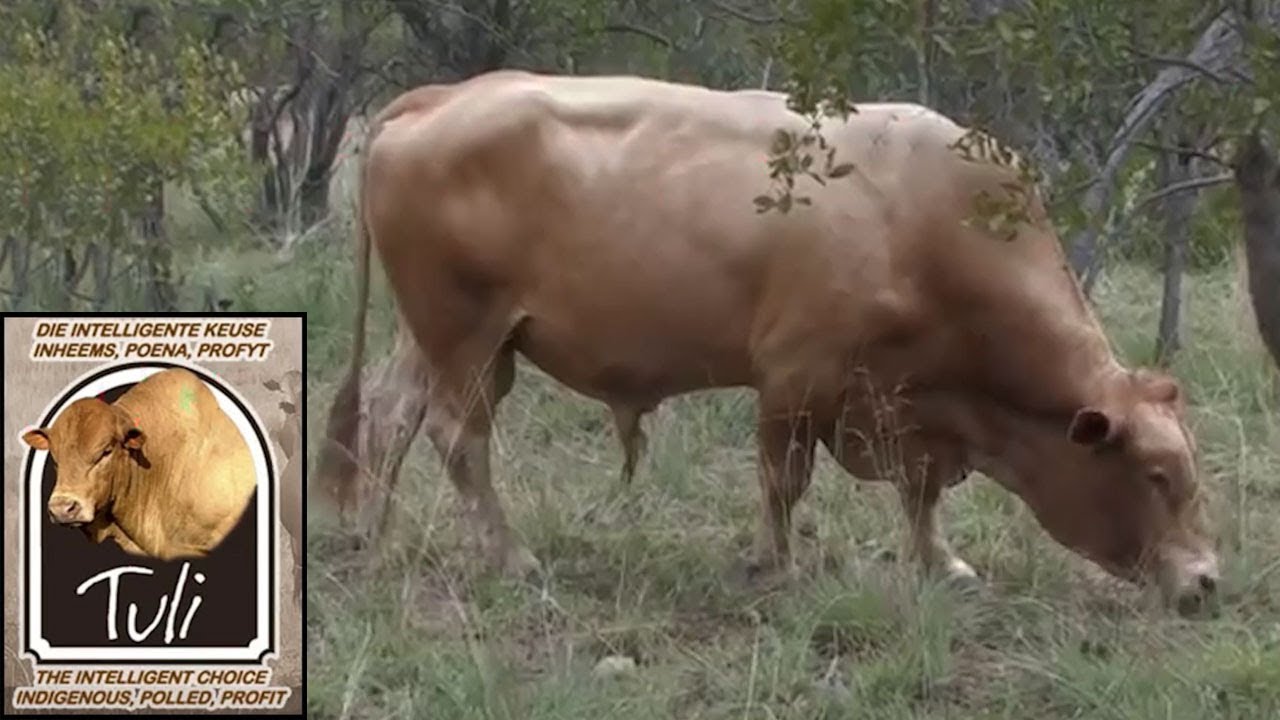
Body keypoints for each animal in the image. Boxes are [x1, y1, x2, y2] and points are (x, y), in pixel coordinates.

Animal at [317, 71, 1220, 615]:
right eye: (1156, 473)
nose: (1207, 583)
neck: (924, 219)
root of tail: (446, 95)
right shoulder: (796, 379)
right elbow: (784, 483)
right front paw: (773, 566)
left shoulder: (907, 405)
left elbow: (920, 494)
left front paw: (942, 565)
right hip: (467, 341)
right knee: (457, 438)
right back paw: (508, 557)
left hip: (440, 339)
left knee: (391, 418)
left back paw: (375, 539)